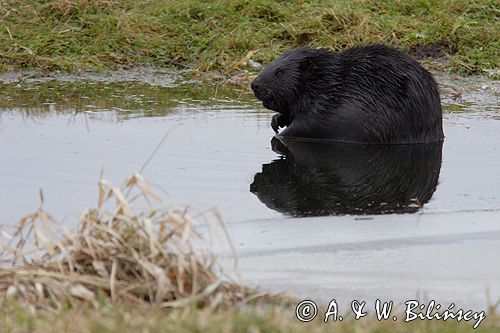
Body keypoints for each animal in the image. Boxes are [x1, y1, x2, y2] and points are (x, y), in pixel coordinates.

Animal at [252, 44, 444, 143]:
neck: (327, 84)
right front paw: (276, 121)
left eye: (280, 72)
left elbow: (305, 126)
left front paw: (278, 135)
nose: (254, 85)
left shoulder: (326, 109)